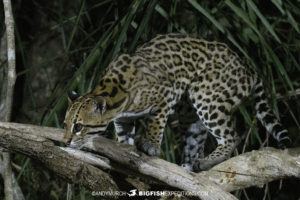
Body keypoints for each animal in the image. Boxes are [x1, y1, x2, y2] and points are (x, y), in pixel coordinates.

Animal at [63, 33, 290, 171]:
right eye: (65, 124)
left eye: (78, 126)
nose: (65, 142)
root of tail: (248, 68)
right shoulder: (123, 119)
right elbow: (124, 136)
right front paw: (123, 149)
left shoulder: (166, 95)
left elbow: (156, 124)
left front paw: (150, 144)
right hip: (192, 120)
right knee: (194, 144)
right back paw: (189, 168)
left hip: (205, 97)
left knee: (231, 136)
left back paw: (207, 161)